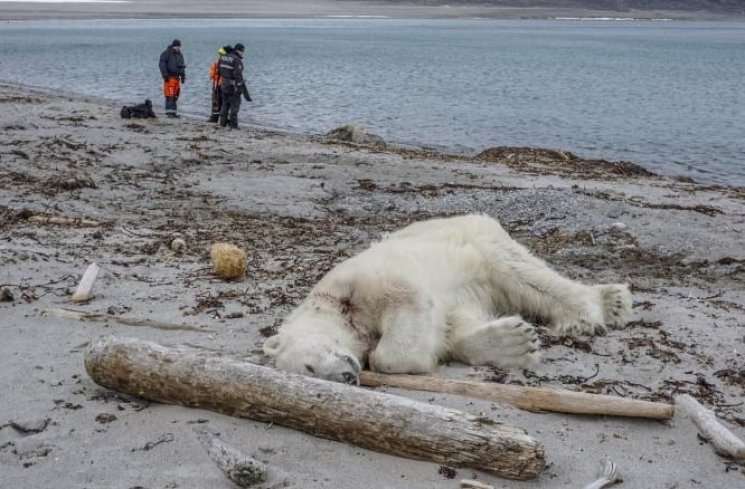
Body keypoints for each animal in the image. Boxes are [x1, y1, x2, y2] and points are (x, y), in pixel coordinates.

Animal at [262, 215, 628, 384]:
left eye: (309, 366)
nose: (347, 377)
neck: (336, 306)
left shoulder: (362, 281)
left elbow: (406, 304)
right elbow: (453, 326)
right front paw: (514, 342)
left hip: (478, 241)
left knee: (522, 274)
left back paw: (602, 306)